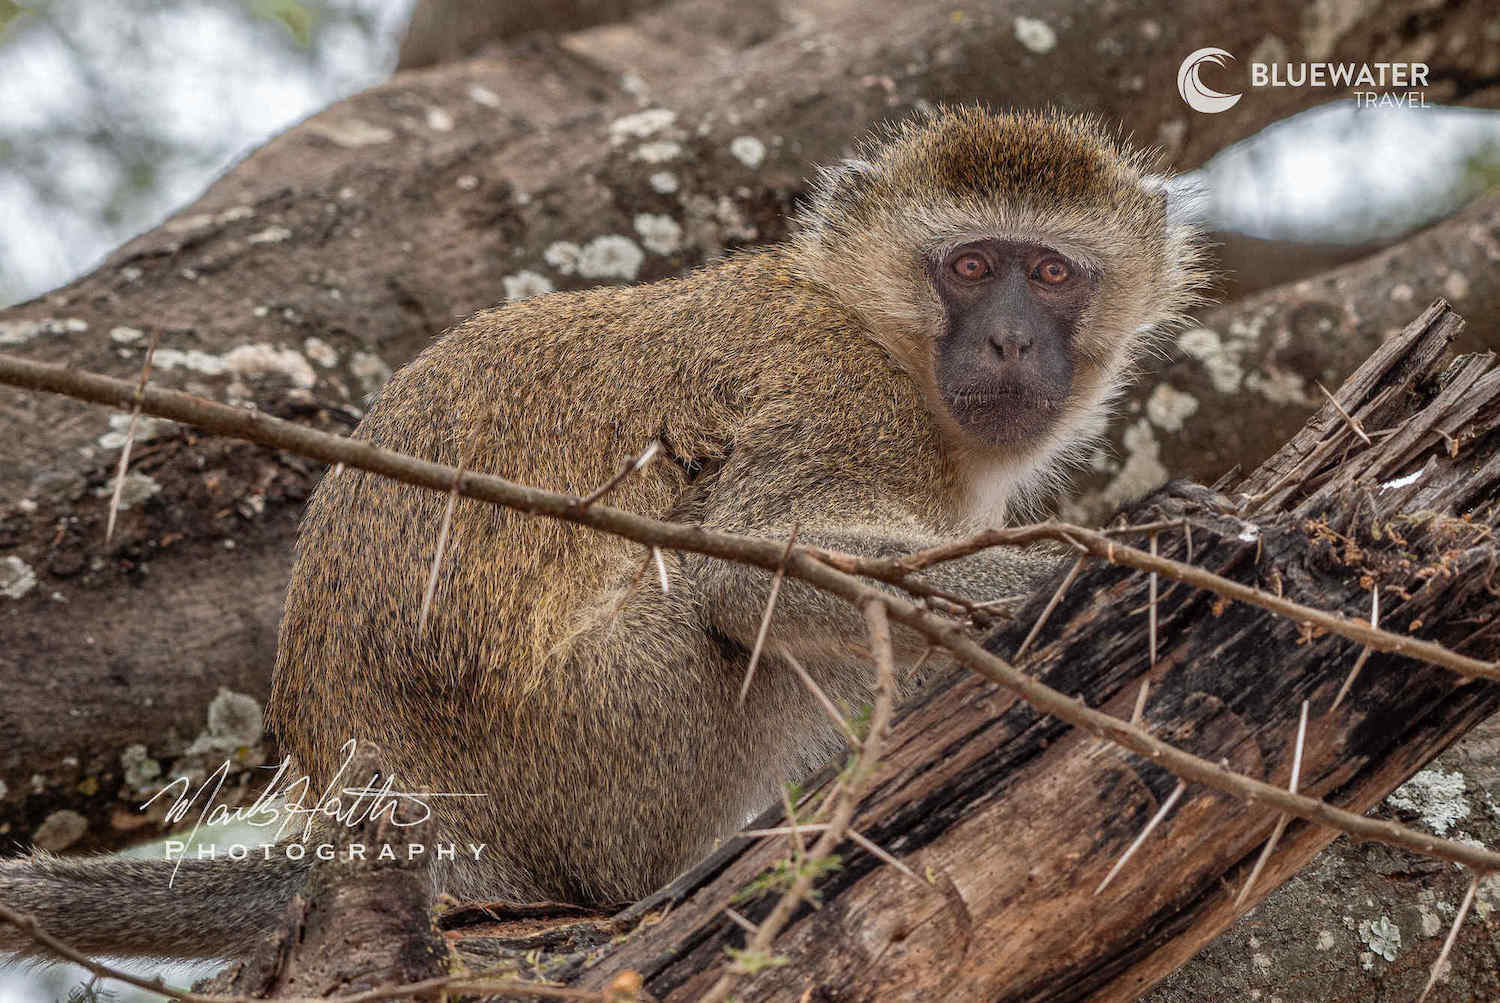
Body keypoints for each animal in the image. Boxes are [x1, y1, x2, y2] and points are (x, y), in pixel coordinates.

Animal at [0, 106, 1204, 961]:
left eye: (1051, 272)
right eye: (970, 267)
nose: (1008, 341)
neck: (878, 331)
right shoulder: (841, 398)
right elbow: (748, 575)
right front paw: (1124, 543)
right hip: (591, 755)